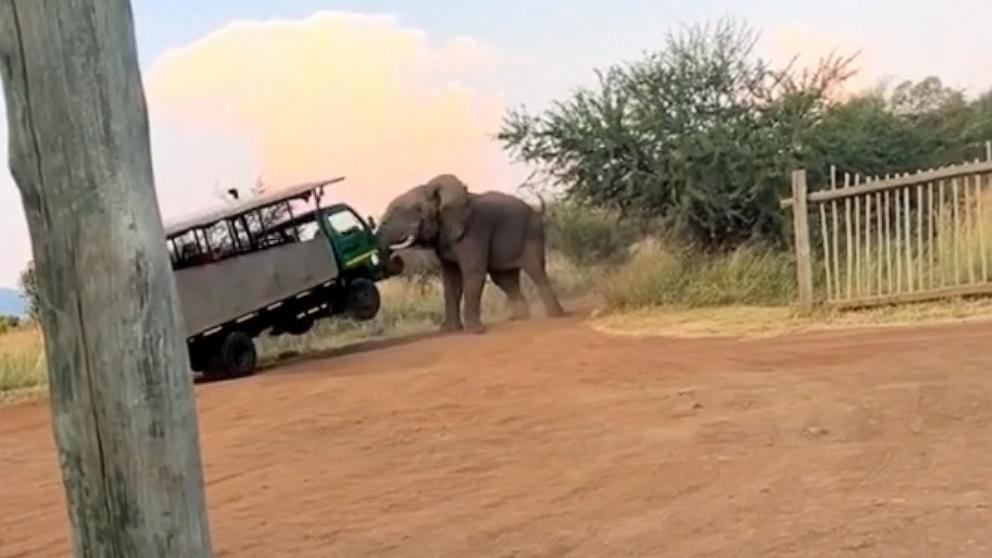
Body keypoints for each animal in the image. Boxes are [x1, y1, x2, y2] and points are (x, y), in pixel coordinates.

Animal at [376, 175, 564, 334]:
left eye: (418, 209)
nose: (396, 257)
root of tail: (536, 210)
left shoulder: (474, 230)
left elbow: (473, 273)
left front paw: (474, 331)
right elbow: (451, 281)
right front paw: (449, 331)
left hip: (531, 233)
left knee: (536, 271)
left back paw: (556, 315)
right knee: (504, 279)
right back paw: (519, 318)